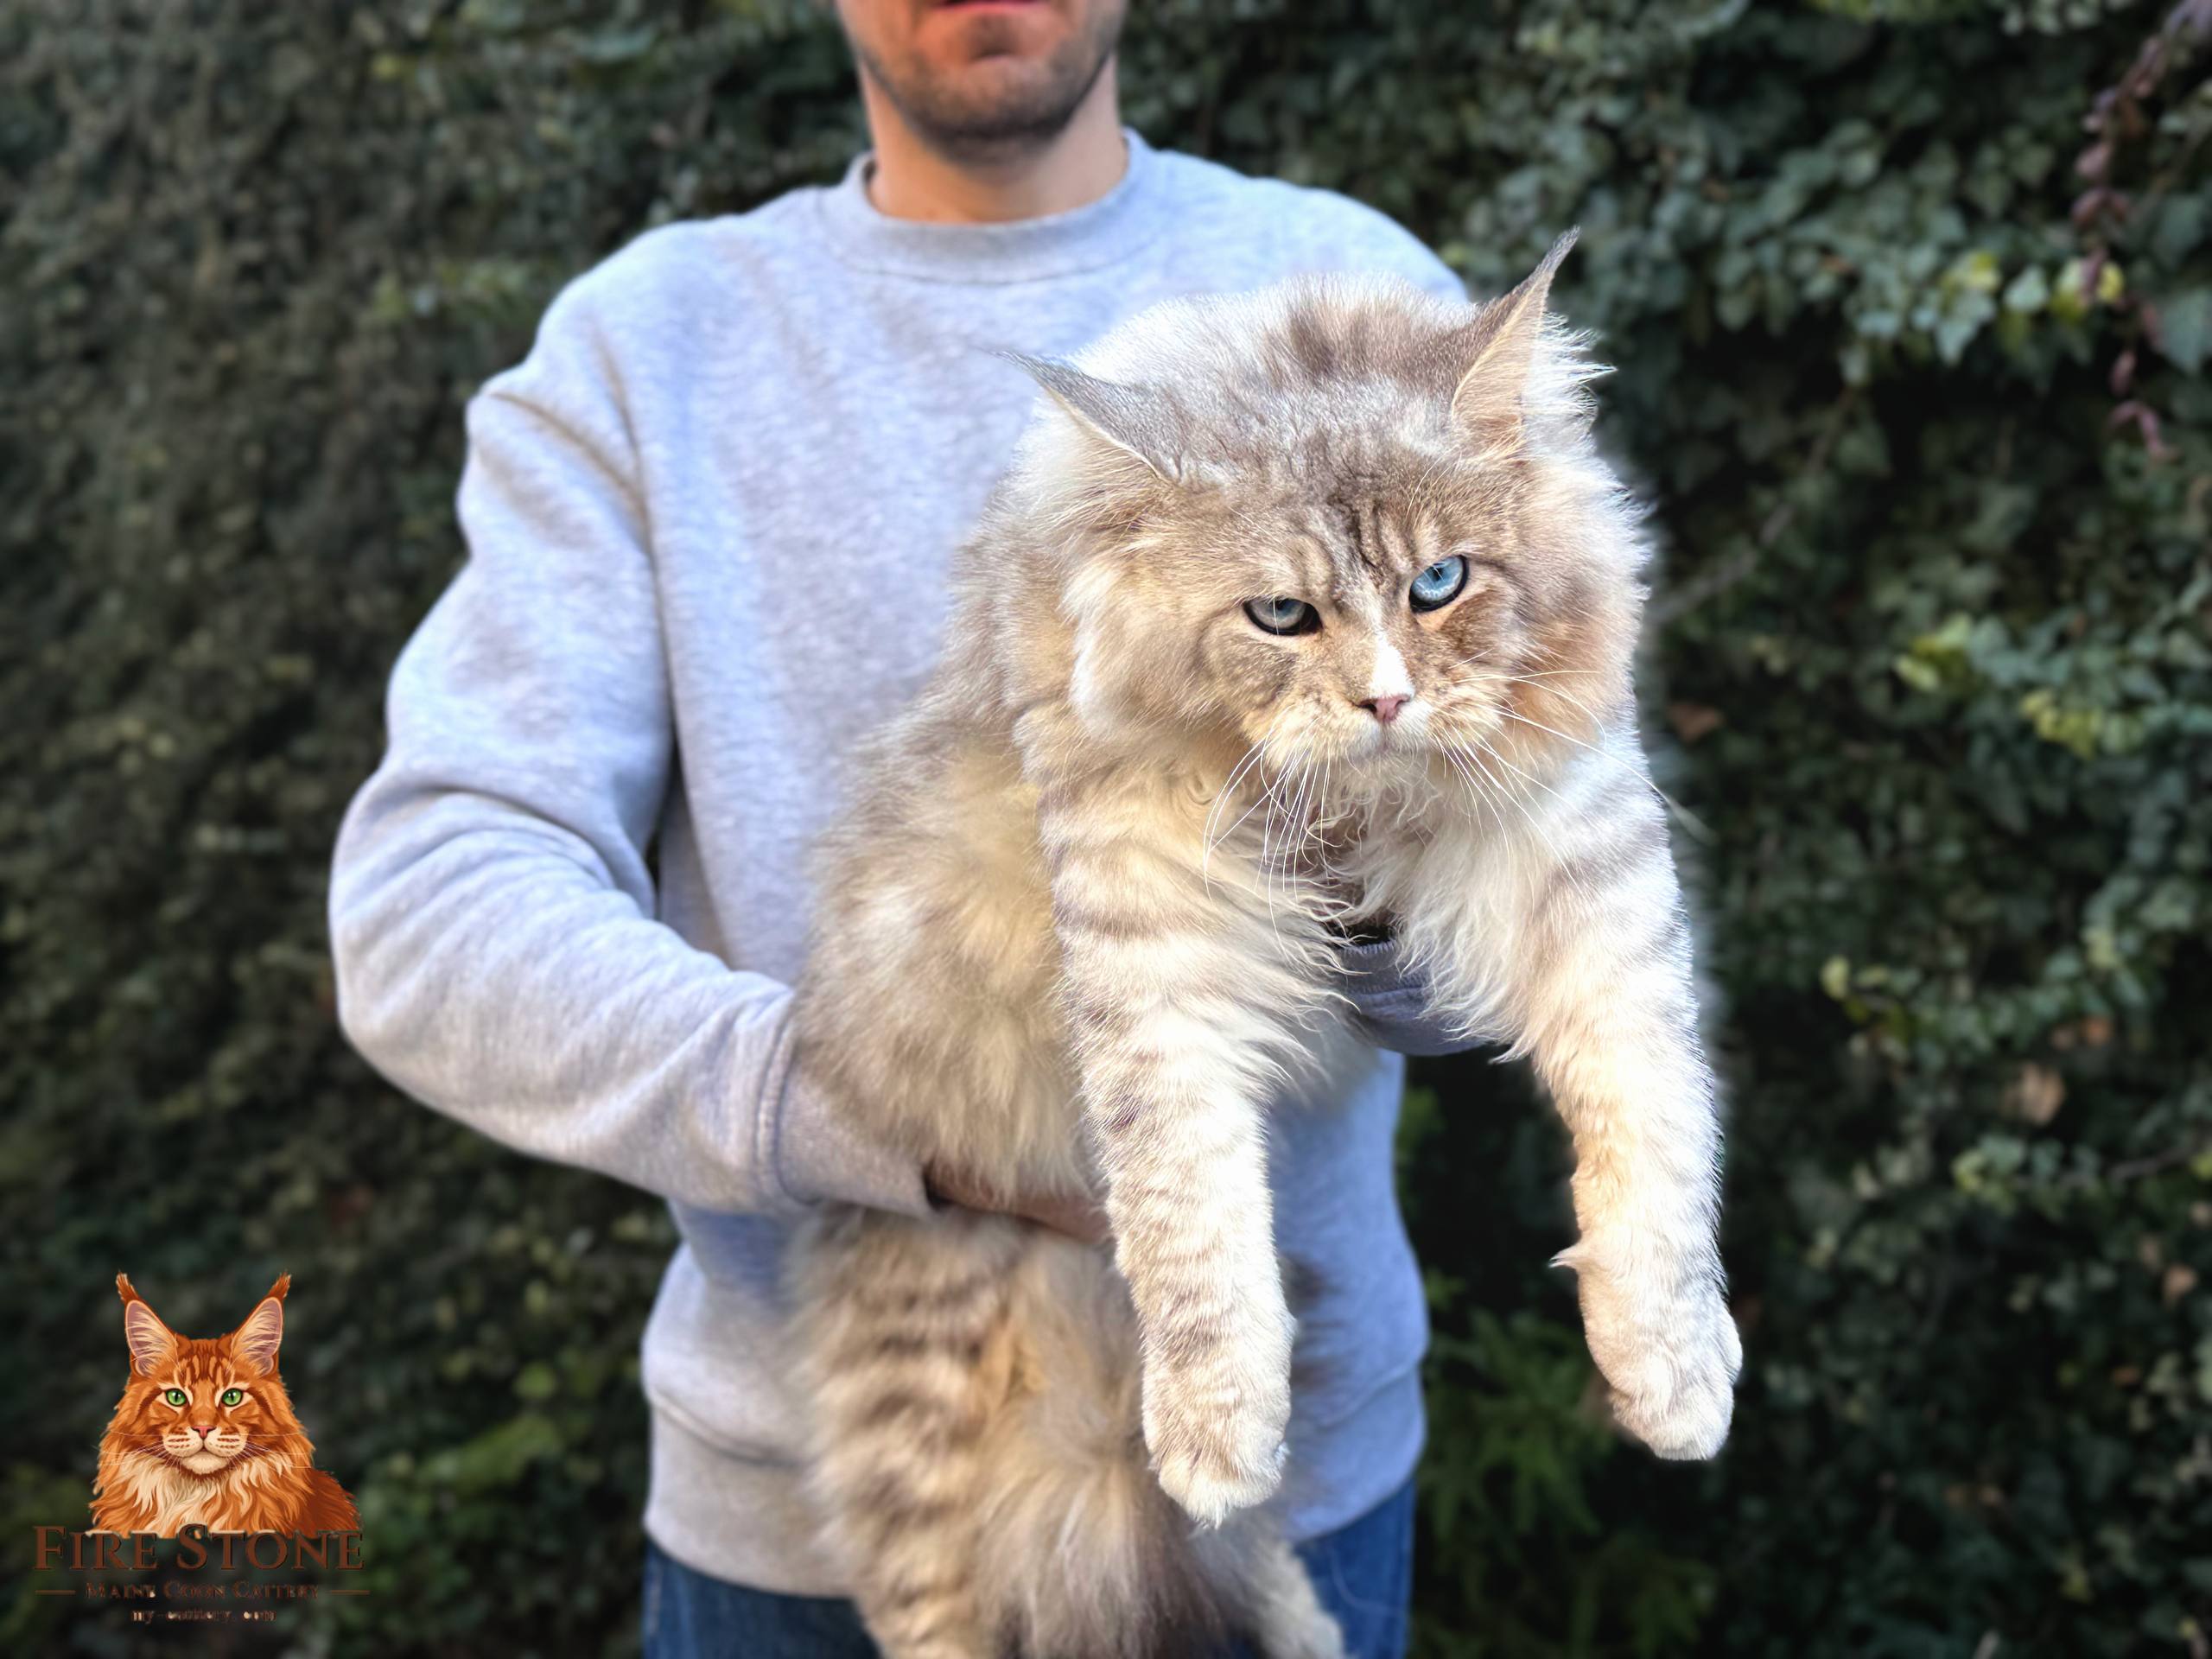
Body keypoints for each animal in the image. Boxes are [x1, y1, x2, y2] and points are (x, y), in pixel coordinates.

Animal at [785, 230, 1741, 1659]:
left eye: (1441, 585)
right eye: (1281, 616)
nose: (1386, 699)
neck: (1377, 809)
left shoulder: (1594, 892)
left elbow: (1658, 1157)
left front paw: (1673, 1376)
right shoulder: (1152, 963)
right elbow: (1195, 1232)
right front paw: (1215, 1431)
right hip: (915, 1419)